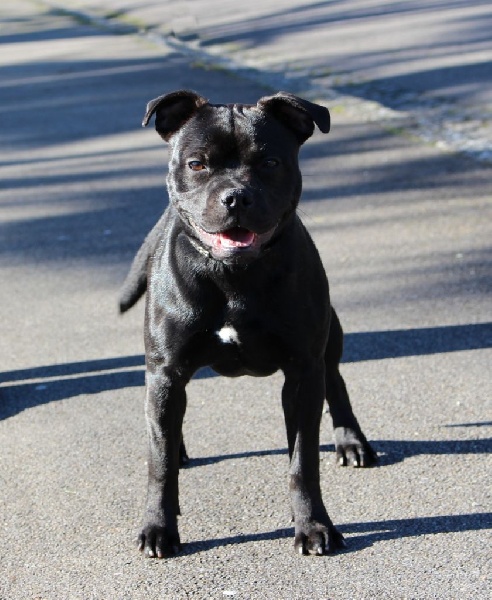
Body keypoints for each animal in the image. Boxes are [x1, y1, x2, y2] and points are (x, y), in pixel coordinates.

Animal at [119, 90, 376, 558]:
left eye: (270, 162)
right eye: (197, 163)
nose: (236, 197)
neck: (233, 277)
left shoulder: (302, 373)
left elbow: (302, 461)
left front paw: (313, 526)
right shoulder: (166, 371)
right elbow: (159, 463)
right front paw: (158, 527)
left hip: (329, 340)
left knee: (336, 380)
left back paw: (351, 440)